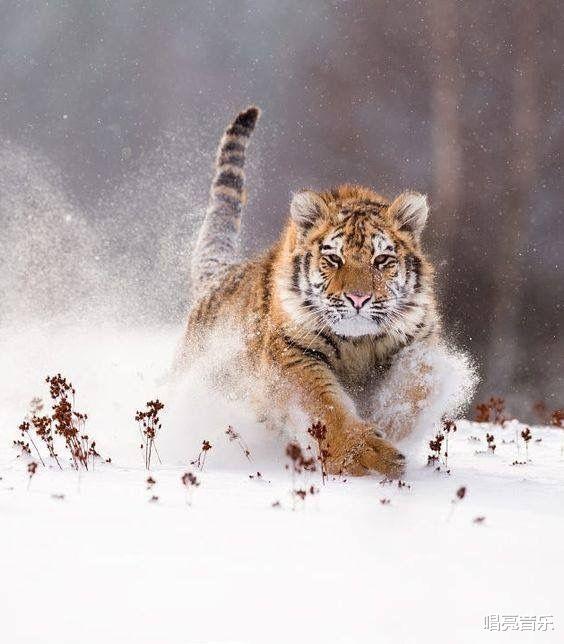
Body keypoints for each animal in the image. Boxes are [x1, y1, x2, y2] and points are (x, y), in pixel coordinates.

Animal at [181, 107, 440, 478]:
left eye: (381, 259)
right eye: (333, 258)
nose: (358, 299)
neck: (358, 345)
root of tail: (220, 276)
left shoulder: (419, 343)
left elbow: (417, 385)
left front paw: (391, 420)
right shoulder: (292, 355)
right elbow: (324, 408)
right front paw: (367, 455)